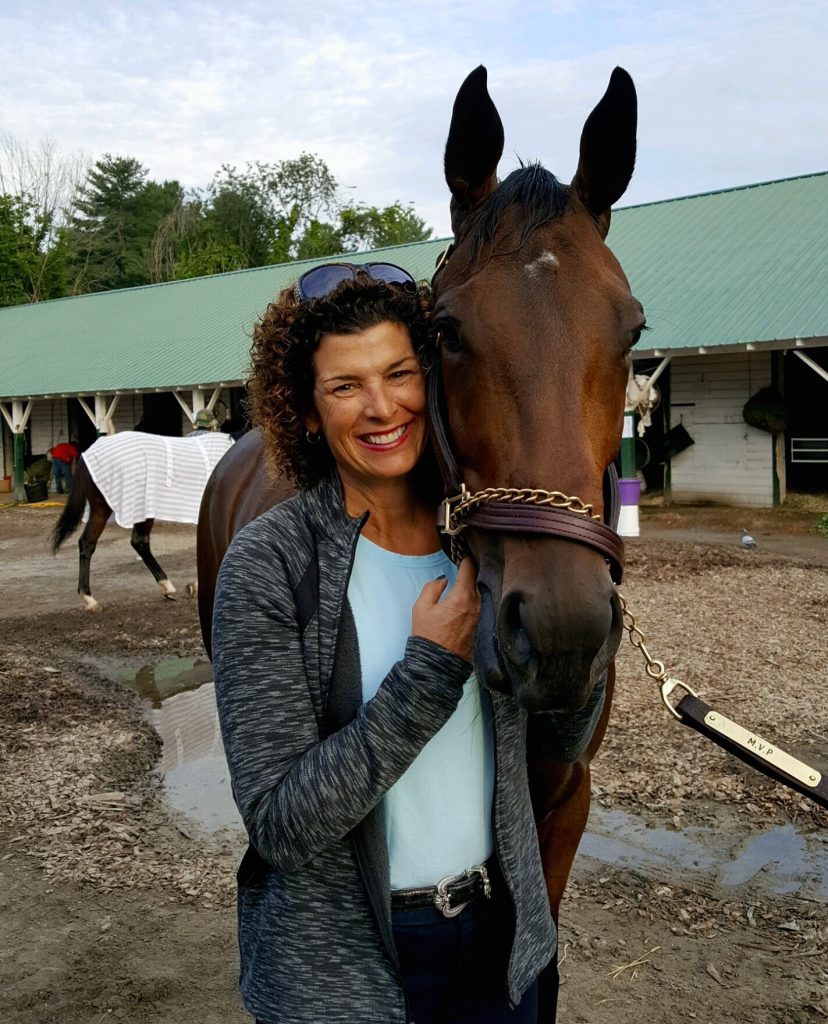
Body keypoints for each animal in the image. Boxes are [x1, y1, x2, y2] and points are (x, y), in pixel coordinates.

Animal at [51, 430, 232, 606]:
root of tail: (88, 454)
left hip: (101, 509)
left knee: (88, 542)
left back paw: (89, 597)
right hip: (140, 509)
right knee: (139, 541)